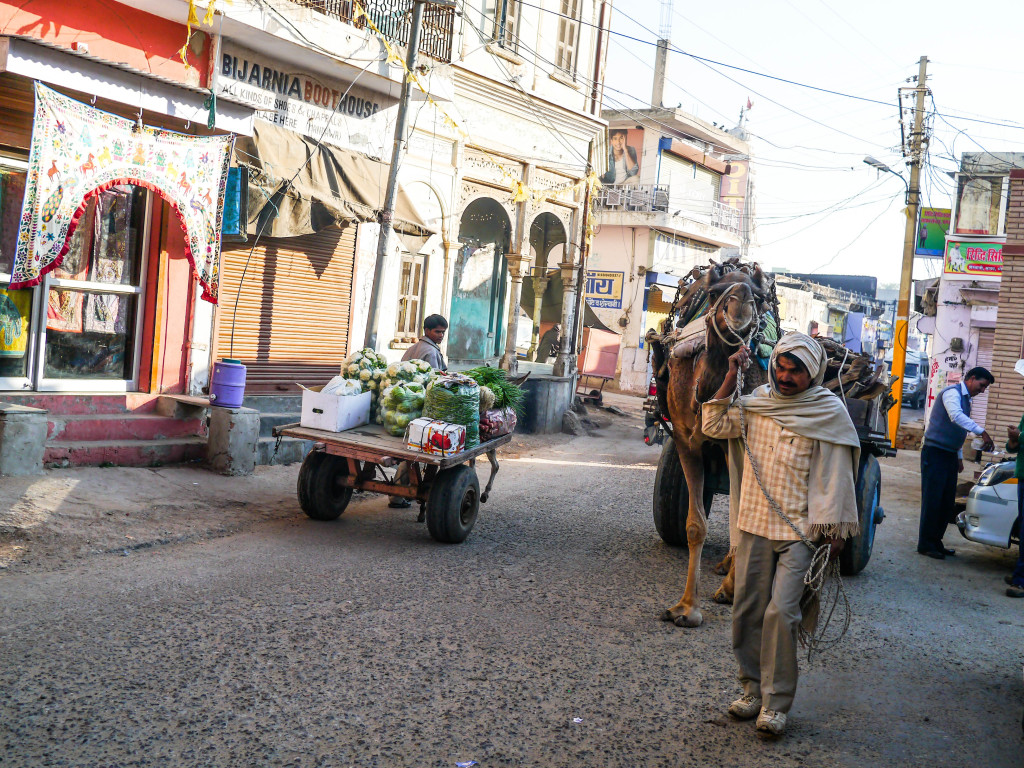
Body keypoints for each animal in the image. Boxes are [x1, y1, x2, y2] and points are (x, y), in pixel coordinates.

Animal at [647, 262, 774, 626]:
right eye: (716, 292)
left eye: (758, 297)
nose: (741, 300)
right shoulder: (687, 442)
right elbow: (695, 525)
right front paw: (686, 607)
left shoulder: (740, 445)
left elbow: (743, 517)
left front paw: (730, 590)